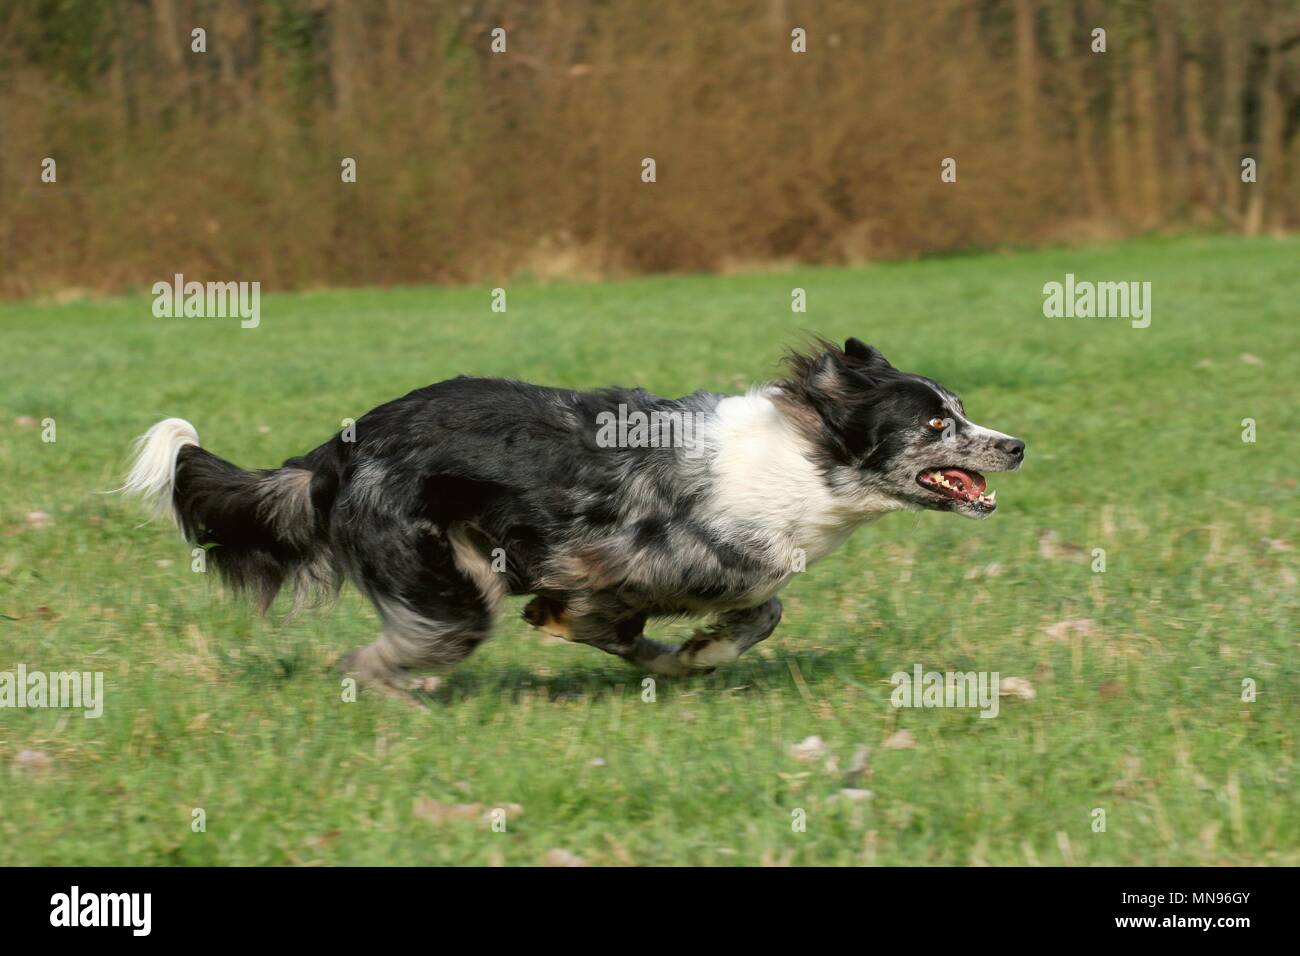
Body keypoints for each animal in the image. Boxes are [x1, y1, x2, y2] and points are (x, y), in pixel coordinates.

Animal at [124, 340, 1024, 691]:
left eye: (962, 410)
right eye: (935, 425)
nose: (1016, 446)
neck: (806, 461)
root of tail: (337, 450)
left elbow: (761, 610)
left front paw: (693, 653)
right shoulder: (608, 568)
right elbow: (628, 619)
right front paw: (691, 654)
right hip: (448, 589)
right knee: (379, 658)